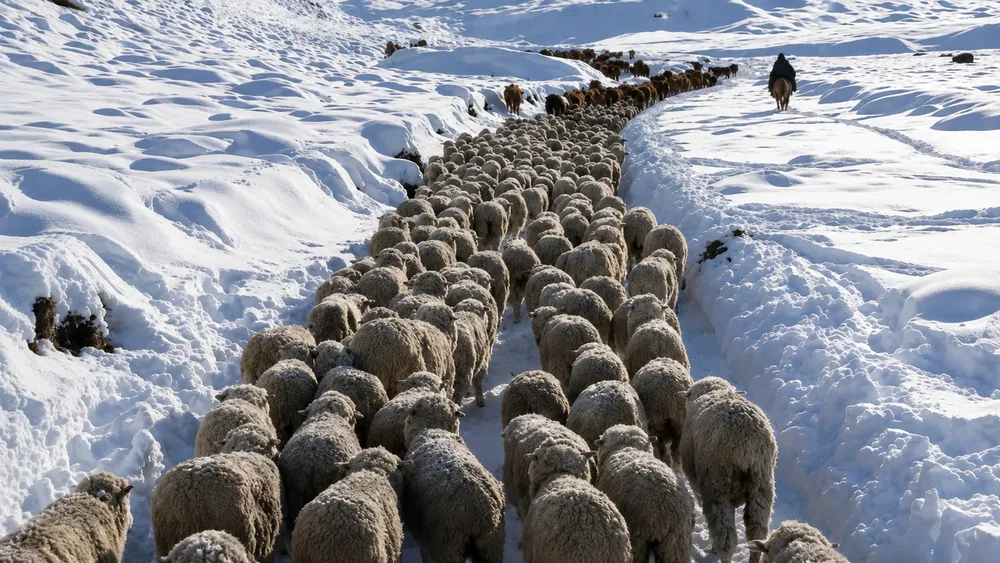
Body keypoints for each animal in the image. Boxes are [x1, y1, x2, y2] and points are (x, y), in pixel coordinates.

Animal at [681, 377, 777, 563]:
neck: (716, 391)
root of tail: (745, 447)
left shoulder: (697, 484)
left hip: (717, 485)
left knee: (726, 538)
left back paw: (719, 551)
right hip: (762, 485)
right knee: (757, 531)